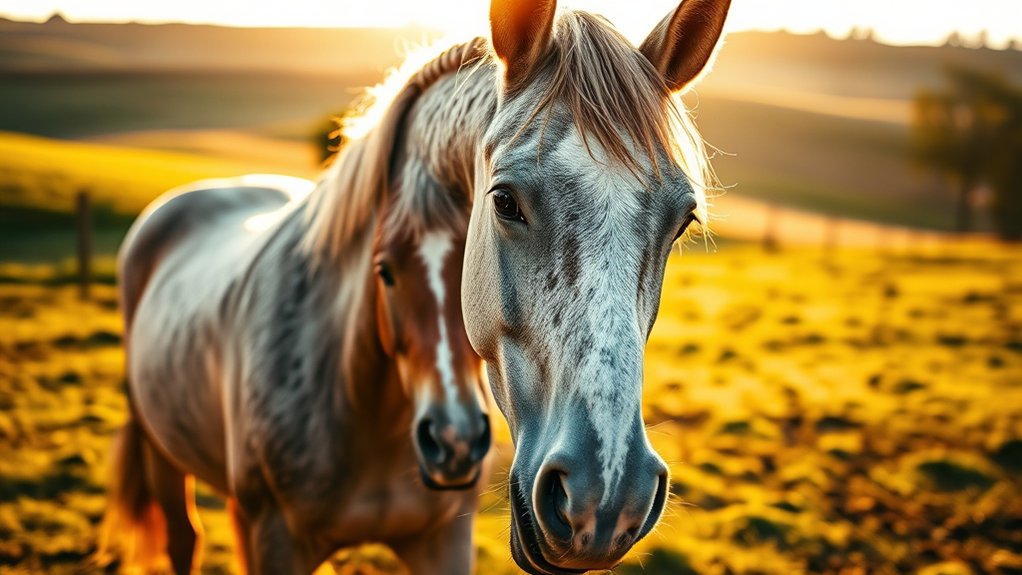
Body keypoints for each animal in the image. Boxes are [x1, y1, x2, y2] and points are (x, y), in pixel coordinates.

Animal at [102, 41, 495, 575]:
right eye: (385, 272)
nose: (455, 443)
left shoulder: (442, 540)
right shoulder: (277, 538)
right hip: (162, 452)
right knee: (183, 539)